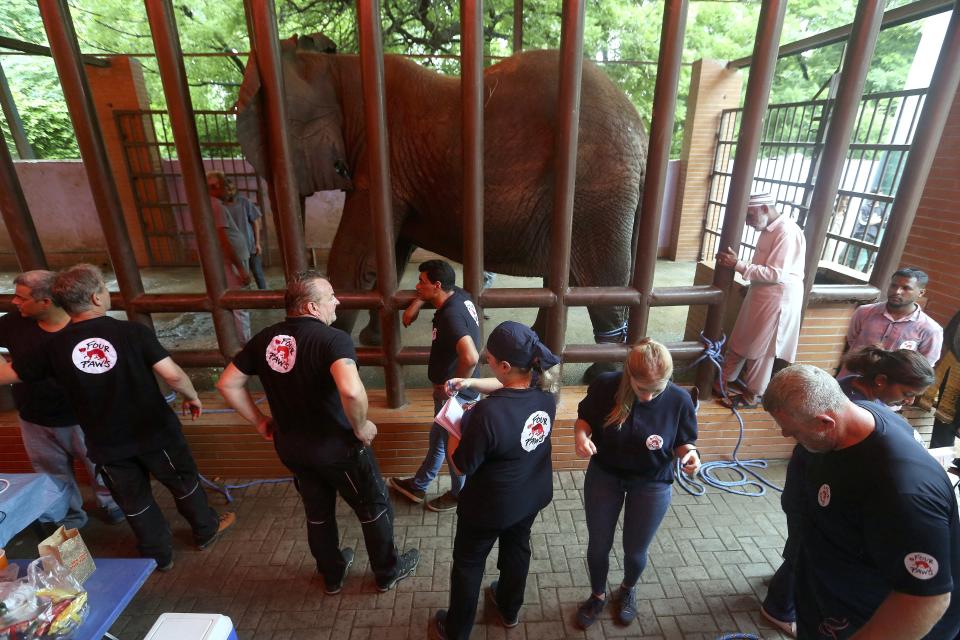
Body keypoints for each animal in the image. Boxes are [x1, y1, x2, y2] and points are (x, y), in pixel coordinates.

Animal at [236, 33, 648, 376]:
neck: (340, 70)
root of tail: (641, 131)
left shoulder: (383, 163)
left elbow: (351, 266)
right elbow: (389, 256)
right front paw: (374, 341)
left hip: (597, 188)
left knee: (601, 281)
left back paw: (600, 372)